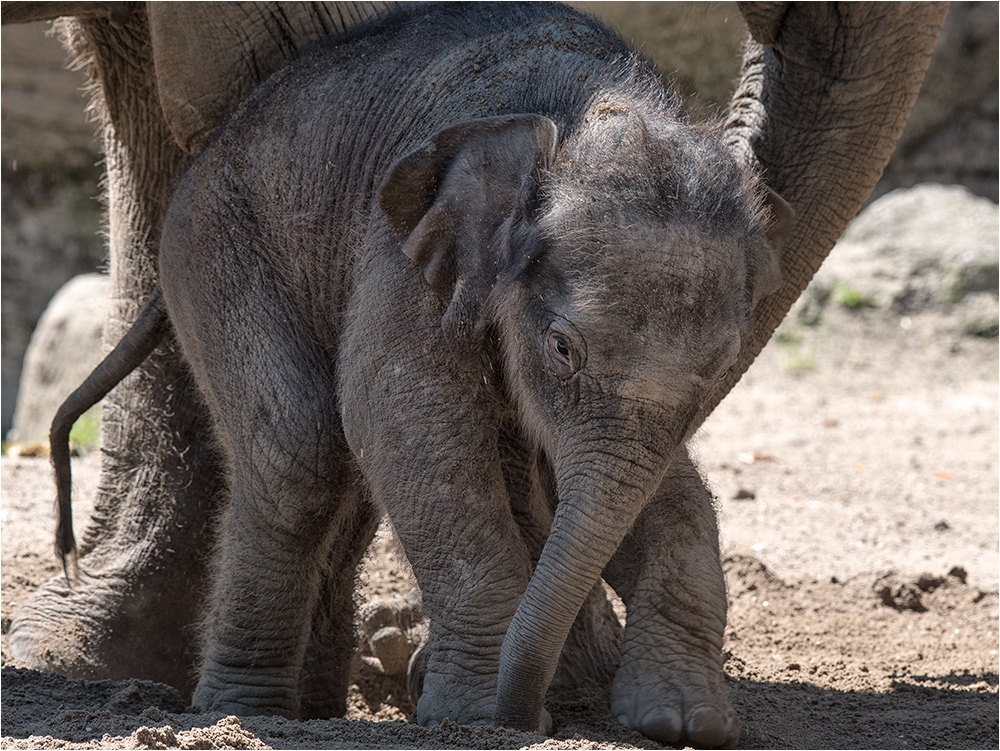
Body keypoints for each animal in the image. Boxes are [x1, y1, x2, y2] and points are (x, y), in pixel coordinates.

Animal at [3, 1, 948, 748]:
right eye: (562, 348)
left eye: (722, 371)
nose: (526, 715)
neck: (585, 115)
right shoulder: (408, 255)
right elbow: (402, 416)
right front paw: (471, 709)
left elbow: (669, 490)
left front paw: (681, 722)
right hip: (216, 239)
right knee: (300, 447)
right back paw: (246, 710)